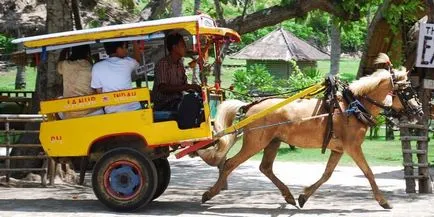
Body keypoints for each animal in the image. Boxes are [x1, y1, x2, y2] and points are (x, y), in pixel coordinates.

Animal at [197, 53, 424, 209]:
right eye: (407, 90)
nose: (420, 111)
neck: (353, 106)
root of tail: (250, 106)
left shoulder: (339, 149)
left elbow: (327, 174)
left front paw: (304, 196)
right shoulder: (352, 147)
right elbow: (368, 172)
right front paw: (383, 201)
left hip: (273, 141)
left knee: (265, 168)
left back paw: (288, 196)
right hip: (256, 142)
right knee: (229, 164)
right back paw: (210, 193)